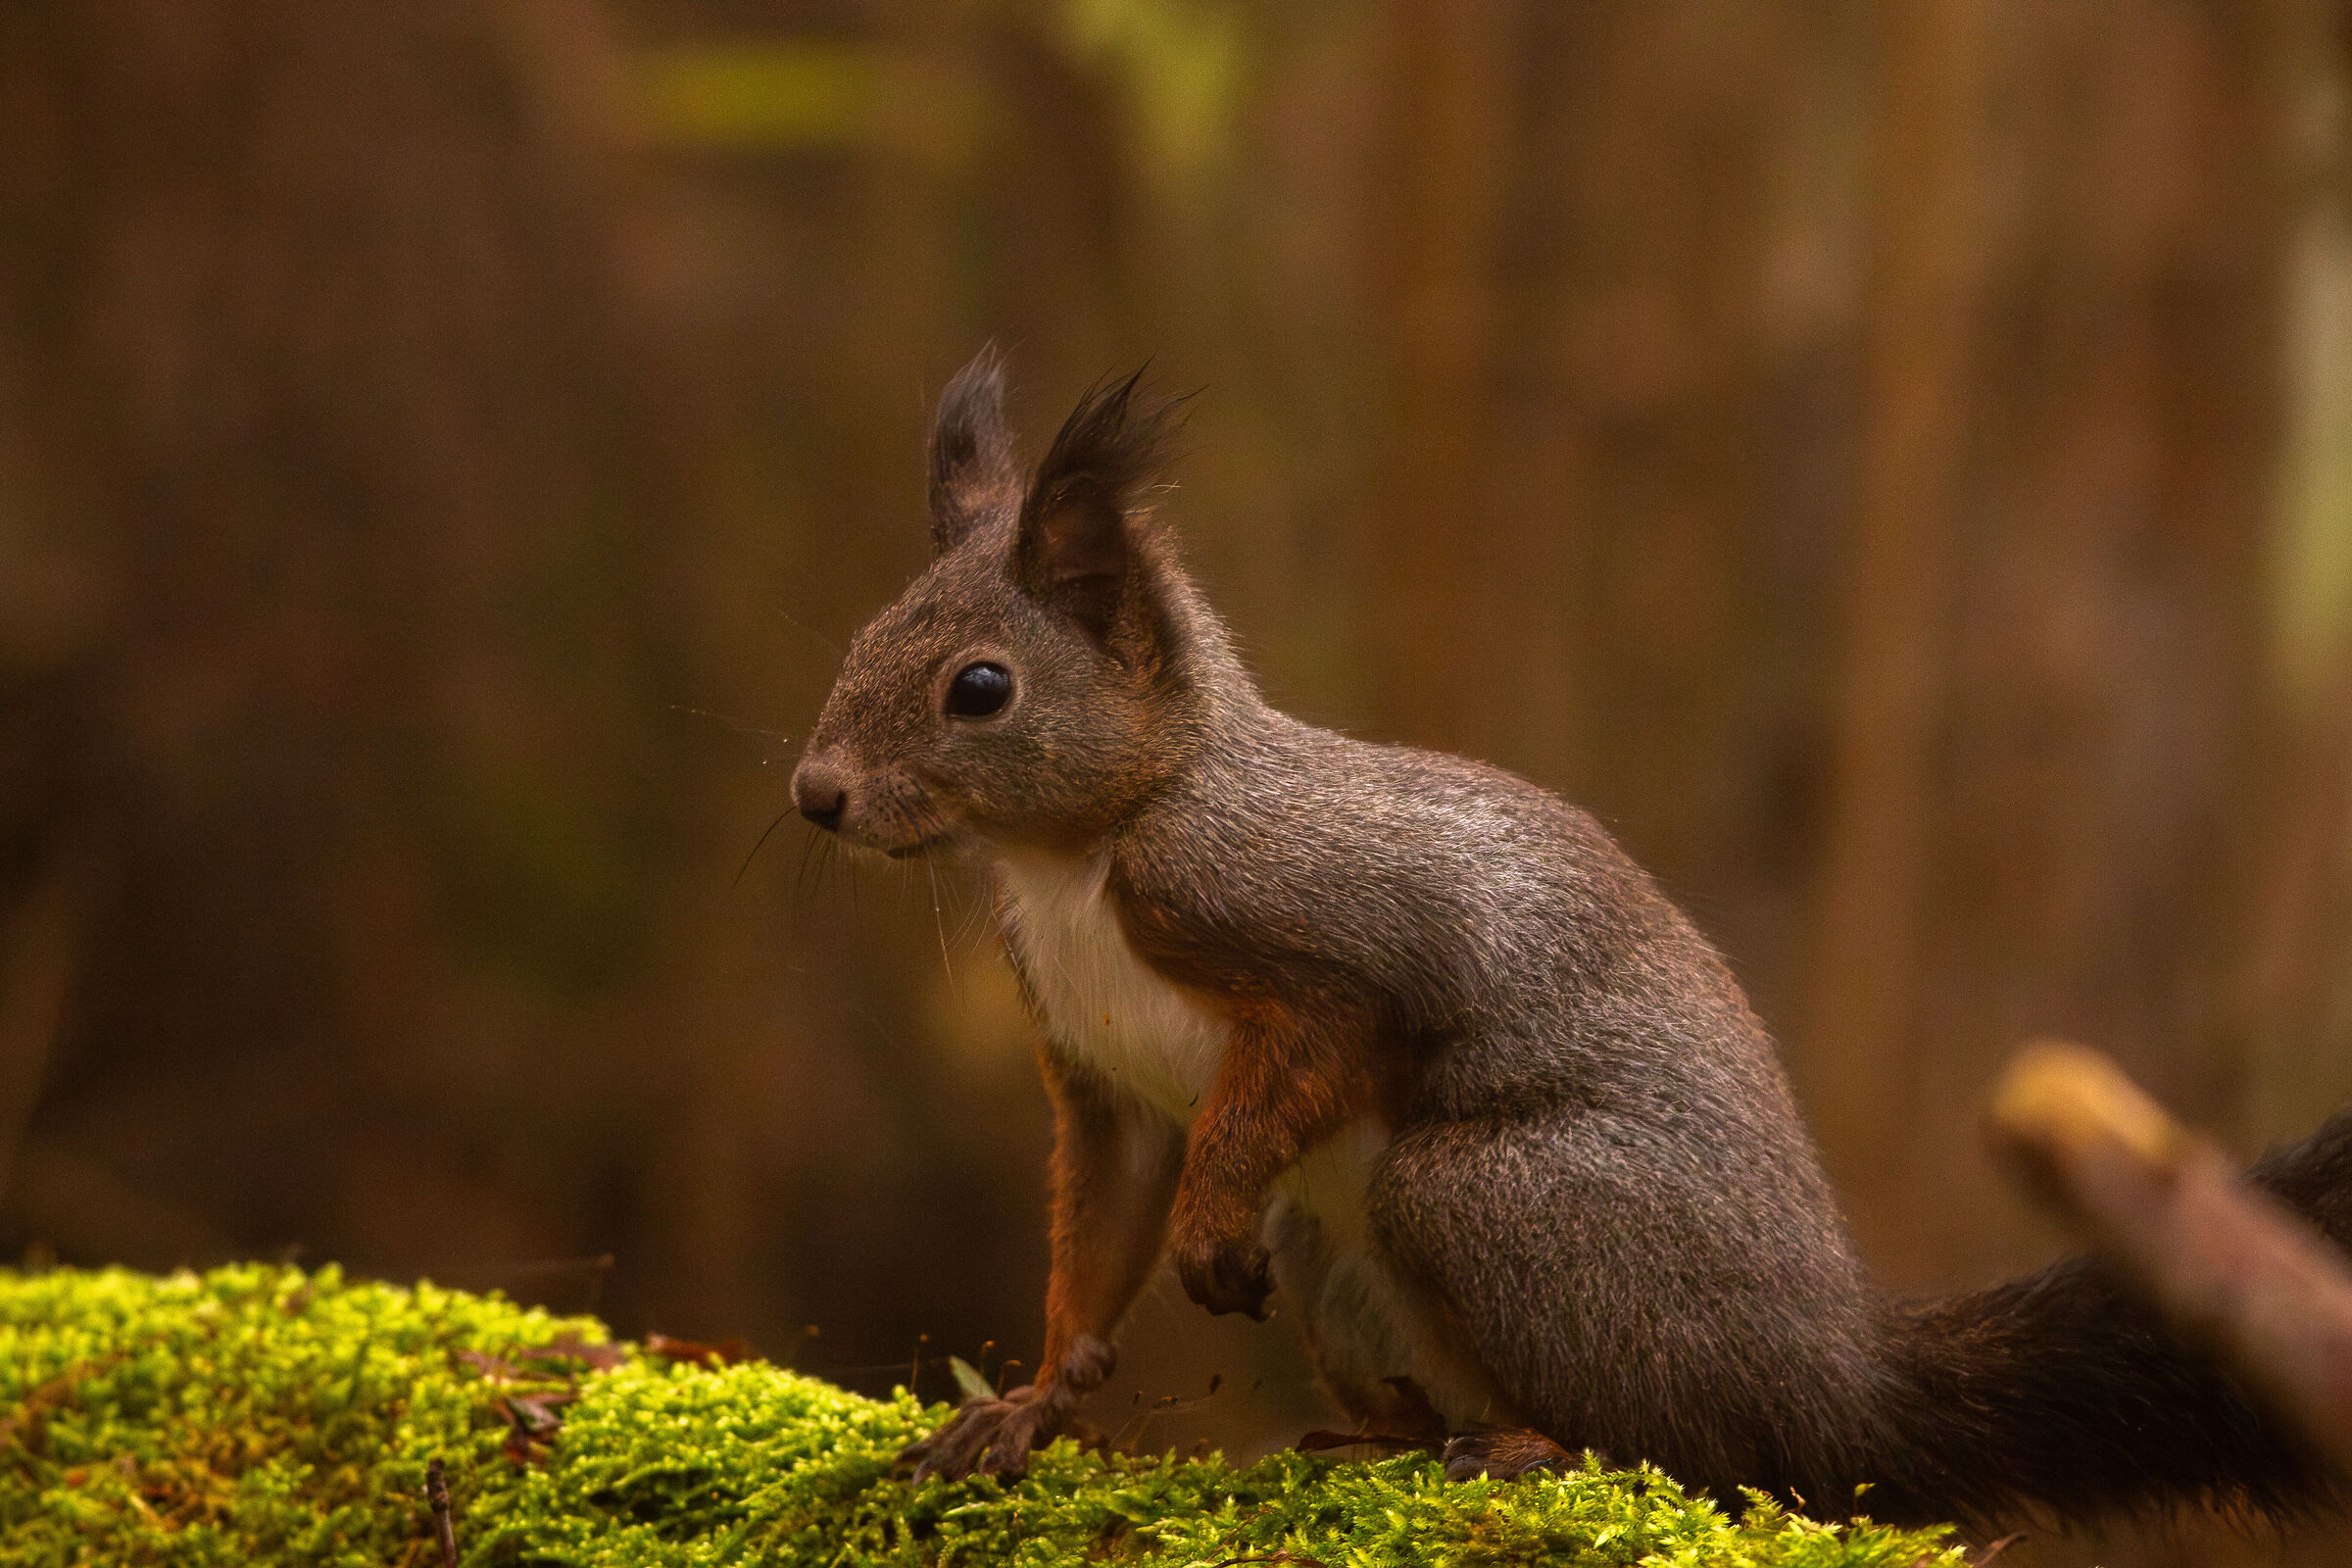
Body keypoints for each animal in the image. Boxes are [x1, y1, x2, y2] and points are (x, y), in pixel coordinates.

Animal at [789, 348, 2352, 1529]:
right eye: (858, 639)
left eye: (980, 688)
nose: (815, 795)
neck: (1077, 856)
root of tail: (1832, 1376)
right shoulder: (1093, 1076)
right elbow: (1098, 1226)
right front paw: (1029, 1405)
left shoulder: (1301, 925)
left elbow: (1309, 1056)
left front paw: (1208, 1231)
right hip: (1350, 1257)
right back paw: (1386, 1434)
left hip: (1498, 1201)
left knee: (1698, 1450)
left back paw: (1541, 1443)